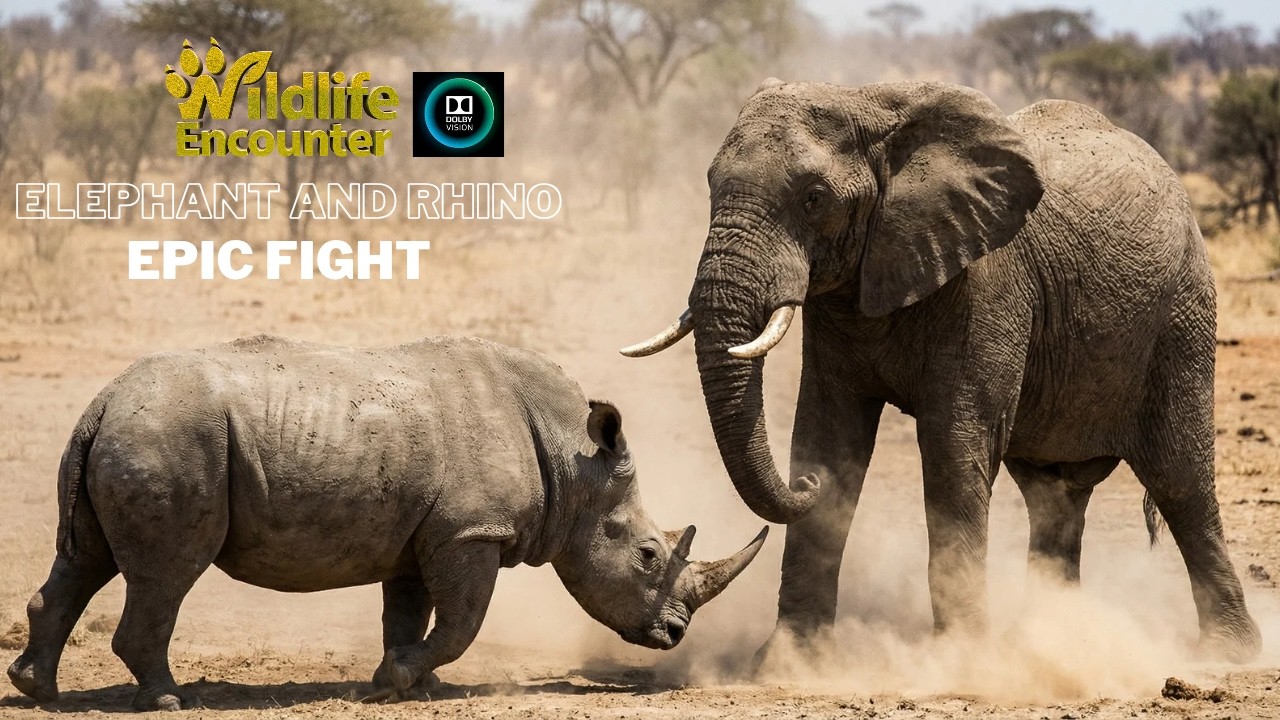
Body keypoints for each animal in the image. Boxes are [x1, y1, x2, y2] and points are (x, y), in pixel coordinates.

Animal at [7, 334, 766, 711]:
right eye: (648, 554)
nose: (674, 634)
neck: (574, 462)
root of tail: (102, 400)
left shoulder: (425, 533)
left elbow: (409, 612)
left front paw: (405, 683)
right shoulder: (472, 532)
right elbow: (463, 622)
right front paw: (400, 678)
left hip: (131, 433)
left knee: (85, 561)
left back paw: (38, 691)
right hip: (168, 437)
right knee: (167, 575)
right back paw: (167, 701)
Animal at [621, 79, 1261, 662]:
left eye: (813, 197)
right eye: (709, 184)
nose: (803, 485)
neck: (872, 104)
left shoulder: (989, 286)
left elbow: (954, 444)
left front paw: (961, 661)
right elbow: (829, 435)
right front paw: (789, 662)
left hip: (1182, 315)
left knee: (1179, 479)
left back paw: (1226, 653)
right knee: (1054, 496)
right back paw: (1053, 639)